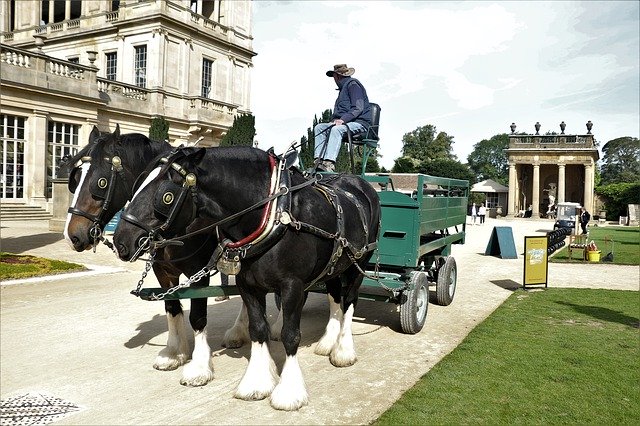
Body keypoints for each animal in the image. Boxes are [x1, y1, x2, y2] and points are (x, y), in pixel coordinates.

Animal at [62, 125, 251, 386]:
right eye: (76, 178)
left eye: (100, 182)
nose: (72, 236)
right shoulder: (162, 270)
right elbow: (171, 307)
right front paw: (174, 352)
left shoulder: (198, 272)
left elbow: (198, 317)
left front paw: (200, 366)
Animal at [112, 146, 380, 410]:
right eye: (138, 184)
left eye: (165, 195)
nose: (120, 241)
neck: (274, 214)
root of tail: (361, 184)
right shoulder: (247, 284)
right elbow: (257, 329)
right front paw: (257, 382)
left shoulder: (292, 285)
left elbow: (291, 335)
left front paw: (288, 392)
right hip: (335, 264)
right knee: (335, 297)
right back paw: (327, 342)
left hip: (358, 263)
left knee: (349, 300)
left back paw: (343, 350)